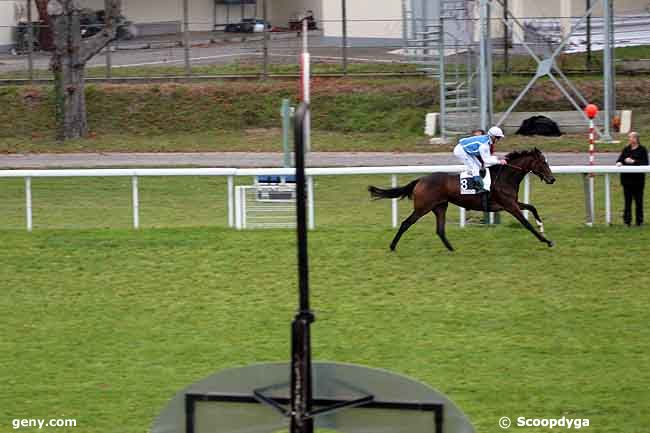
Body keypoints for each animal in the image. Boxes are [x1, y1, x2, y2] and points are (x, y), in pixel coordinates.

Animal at [368, 148, 556, 251]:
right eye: (543, 163)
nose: (552, 179)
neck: (505, 177)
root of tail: (420, 180)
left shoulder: (511, 203)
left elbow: (532, 207)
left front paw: (541, 226)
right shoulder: (509, 205)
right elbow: (526, 223)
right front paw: (546, 240)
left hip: (440, 207)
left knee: (440, 230)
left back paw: (451, 249)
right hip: (423, 207)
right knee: (406, 223)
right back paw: (392, 246)